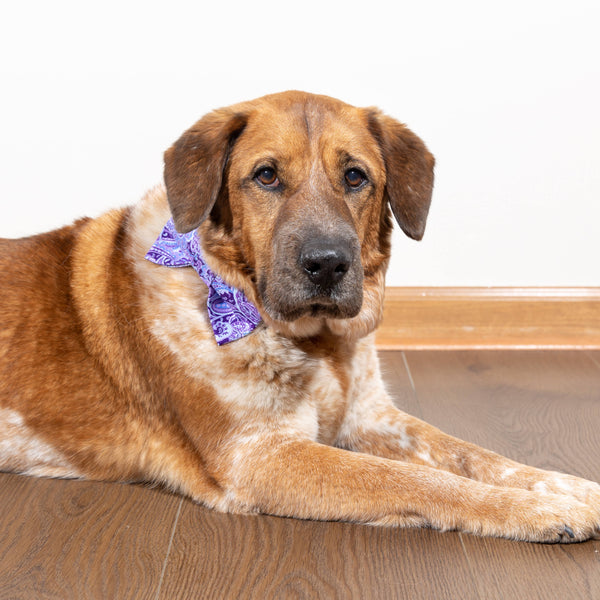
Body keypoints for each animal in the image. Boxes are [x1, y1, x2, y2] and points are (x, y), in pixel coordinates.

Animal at [1, 90, 600, 544]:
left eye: (355, 177)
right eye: (266, 176)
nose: (327, 263)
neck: (317, 343)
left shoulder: (372, 418)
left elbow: (476, 455)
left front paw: (568, 488)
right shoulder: (261, 456)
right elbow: (414, 480)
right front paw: (541, 511)